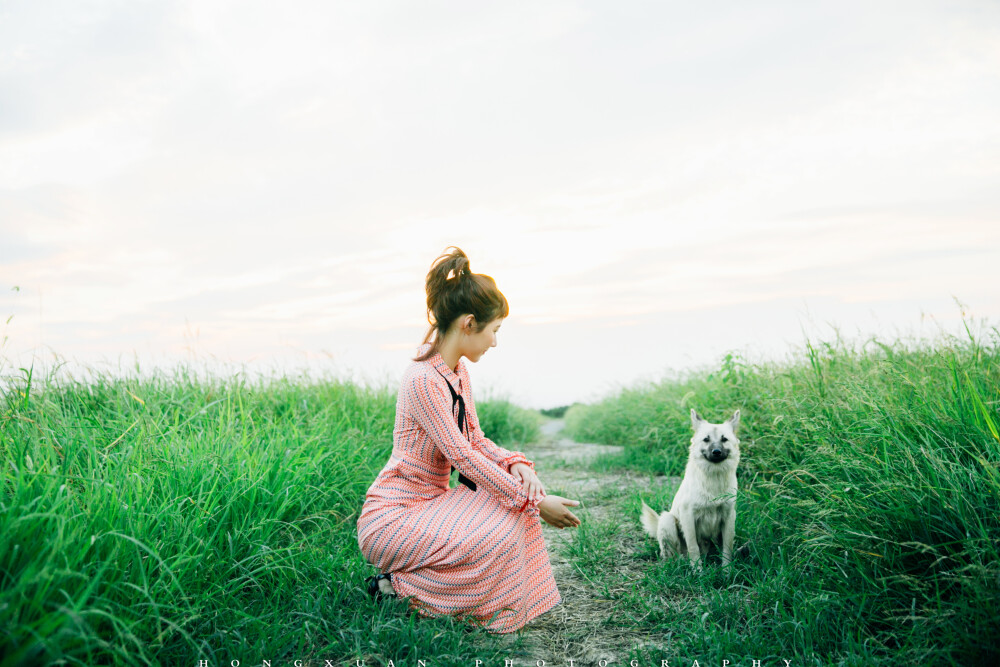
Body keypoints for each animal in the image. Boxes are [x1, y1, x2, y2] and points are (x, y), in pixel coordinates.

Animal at [644, 408, 740, 568]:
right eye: (706, 439)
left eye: (724, 439)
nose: (716, 452)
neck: (713, 479)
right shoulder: (688, 517)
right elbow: (693, 548)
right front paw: (698, 571)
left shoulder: (729, 516)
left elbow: (727, 548)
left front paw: (727, 570)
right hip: (668, 520)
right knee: (674, 556)